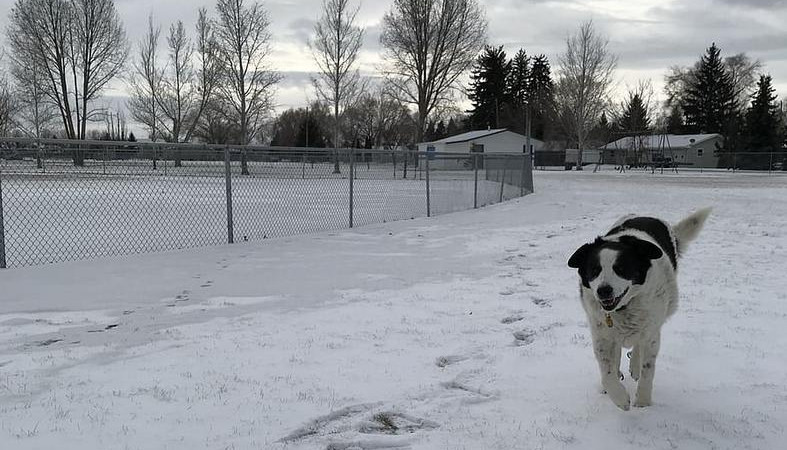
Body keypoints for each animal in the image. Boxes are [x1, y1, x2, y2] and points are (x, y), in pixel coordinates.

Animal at [568, 208, 712, 412]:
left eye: (621, 268)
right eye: (594, 270)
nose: (603, 290)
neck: (623, 308)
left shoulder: (651, 332)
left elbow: (647, 369)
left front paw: (643, 400)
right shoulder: (601, 335)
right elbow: (607, 372)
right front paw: (619, 397)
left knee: (638, 346)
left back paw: (634, 366)